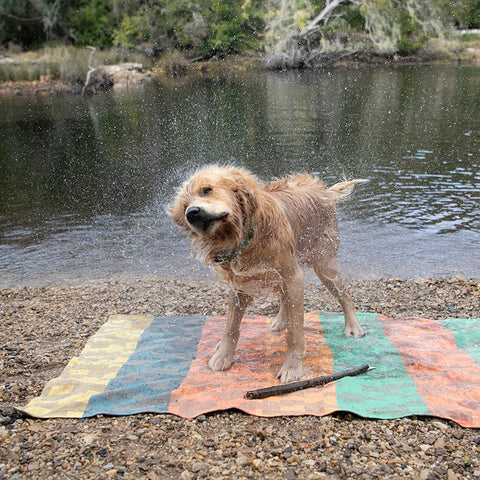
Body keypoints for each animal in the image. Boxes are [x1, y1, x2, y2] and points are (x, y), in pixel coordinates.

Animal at [167, 165, 366, 382]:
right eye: (185, 205)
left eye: (206, 190)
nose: (192, 213)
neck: (246, 236)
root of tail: (325, 192)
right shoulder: (240, 284)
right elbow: (231, 326)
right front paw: (223, 356)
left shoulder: (292, 275)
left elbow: (295, 332)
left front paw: (292, 367)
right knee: (286, 300)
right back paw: (280, 321)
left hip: (324, 262)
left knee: (344, 294)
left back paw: (353, 327)